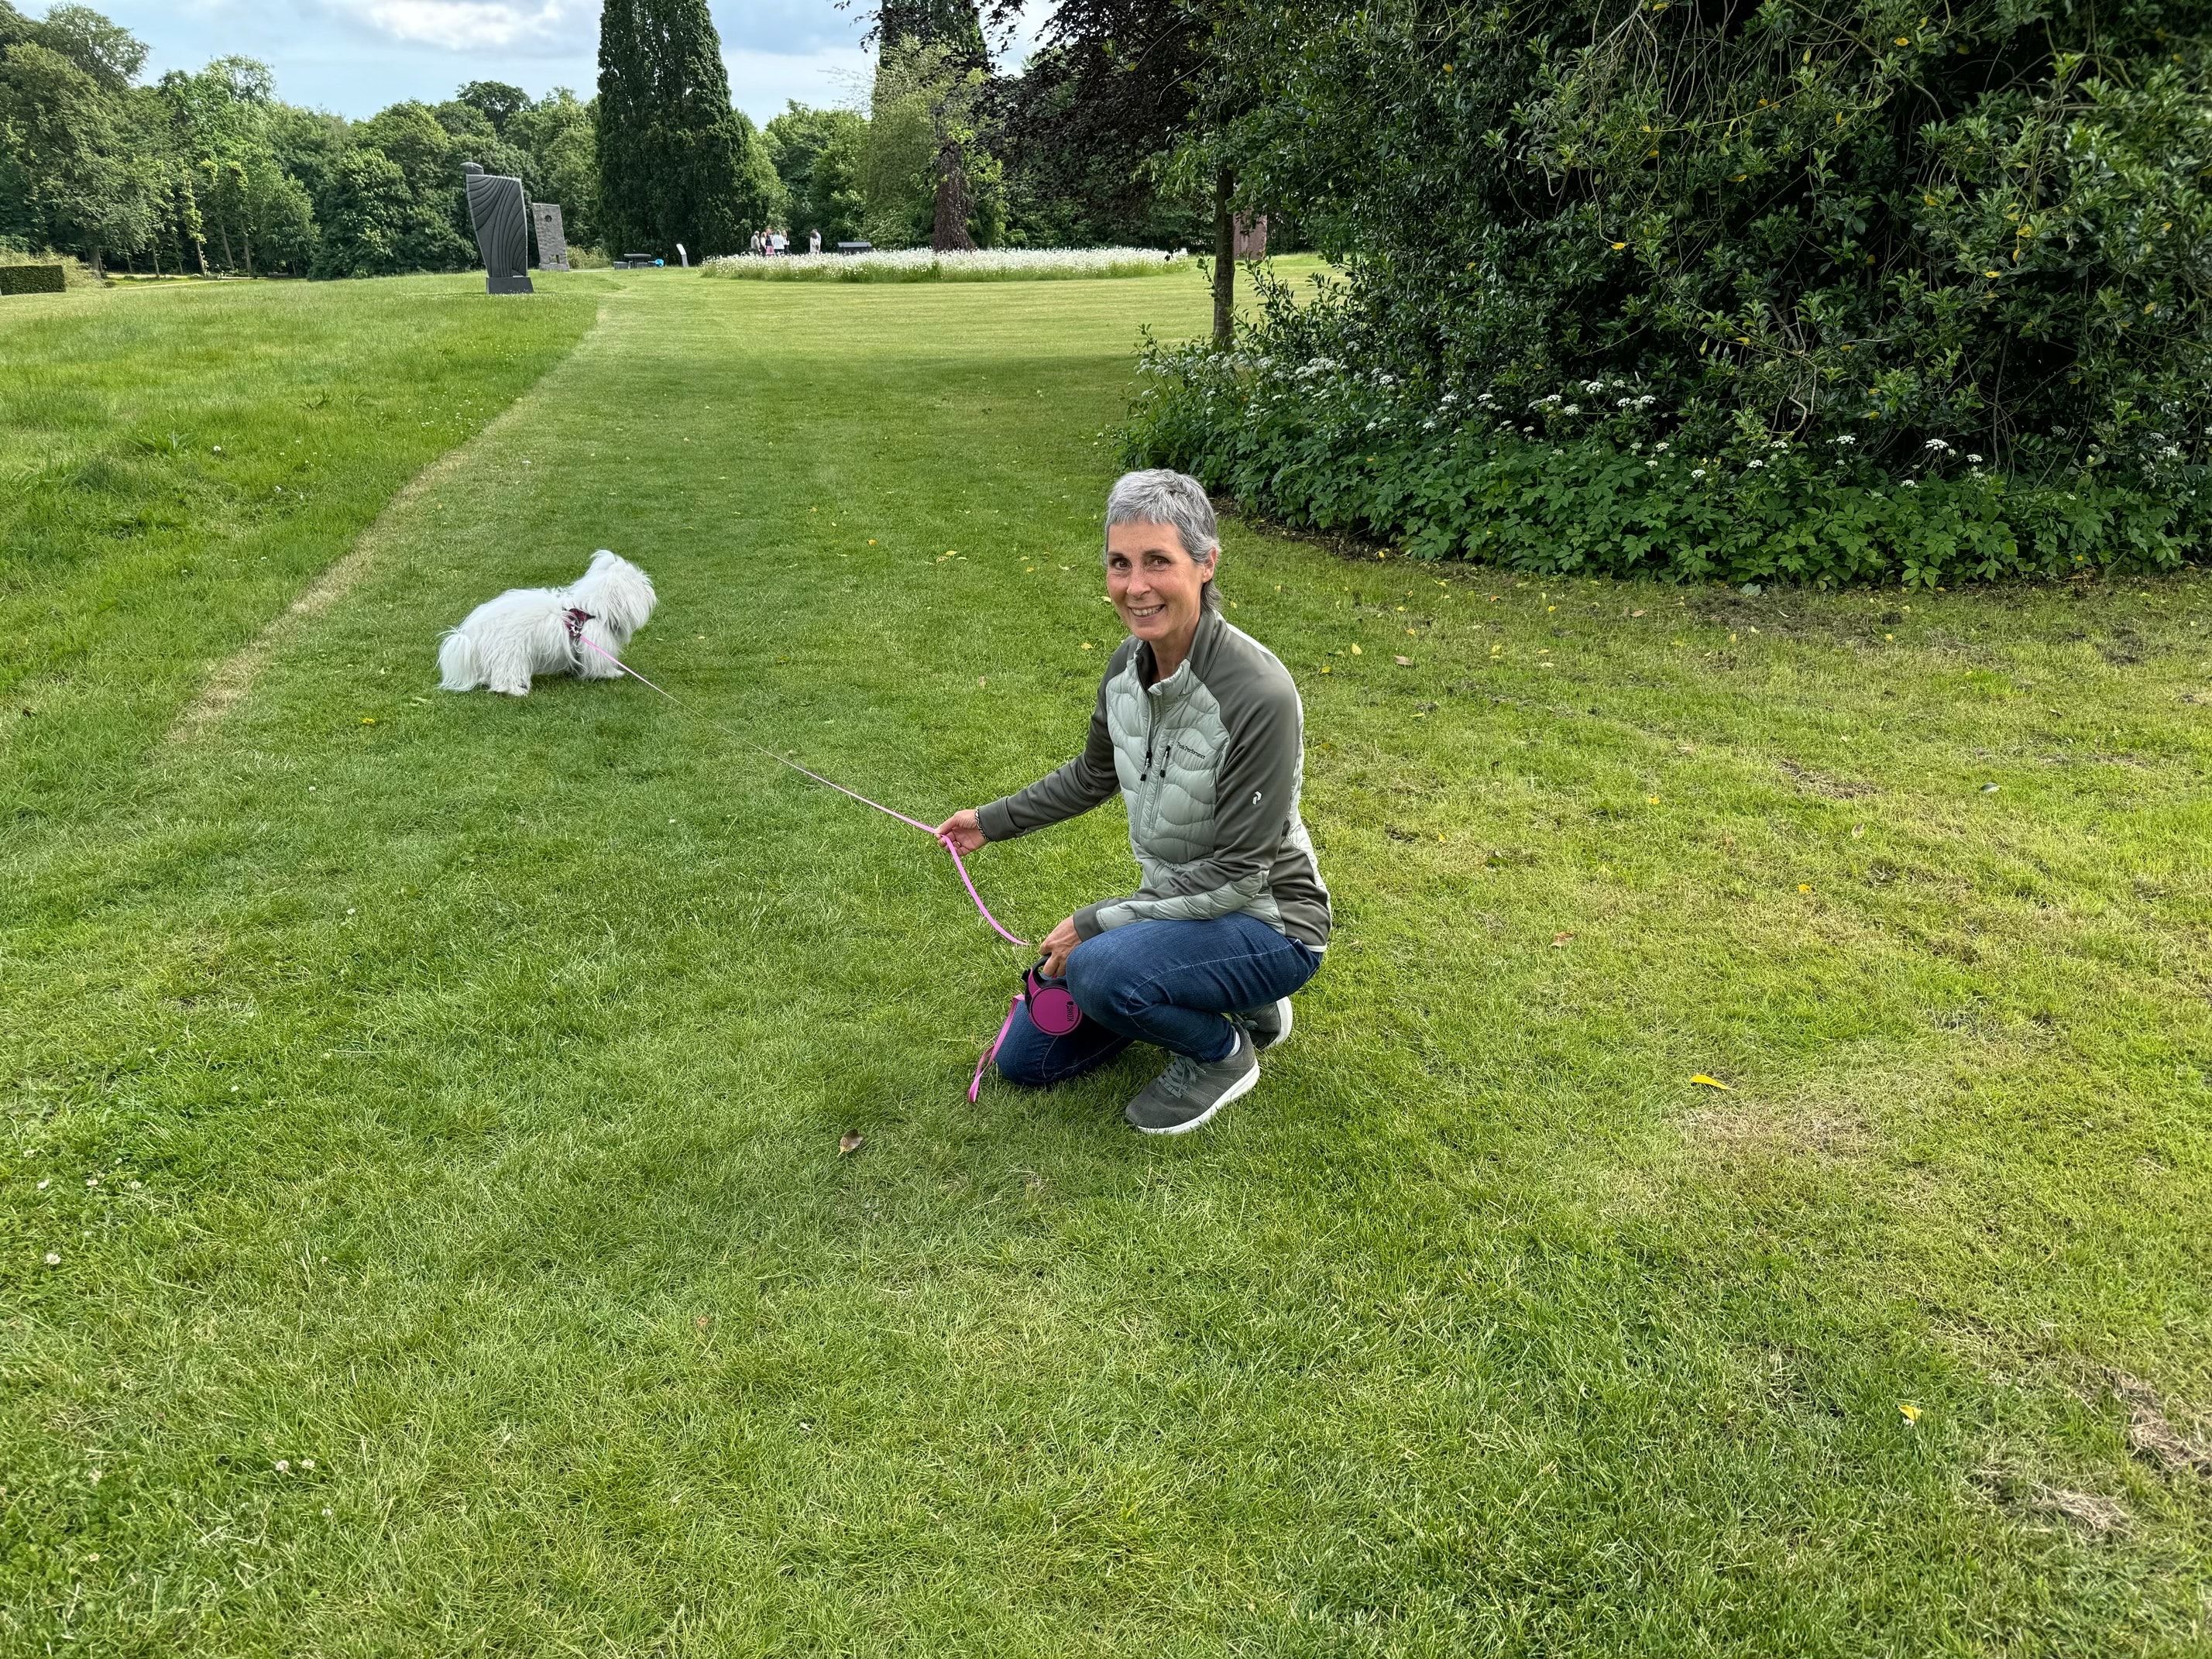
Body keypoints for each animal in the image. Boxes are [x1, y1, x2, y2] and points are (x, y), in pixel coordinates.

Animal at [437, 550, 657, 696]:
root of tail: (471, 632)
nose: (649, 583)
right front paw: (612, 674)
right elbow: (601, 665)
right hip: (511, 653)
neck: (592, 610)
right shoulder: (597, 646)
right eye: (639, 582)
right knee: (505, 677)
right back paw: (515, 691)